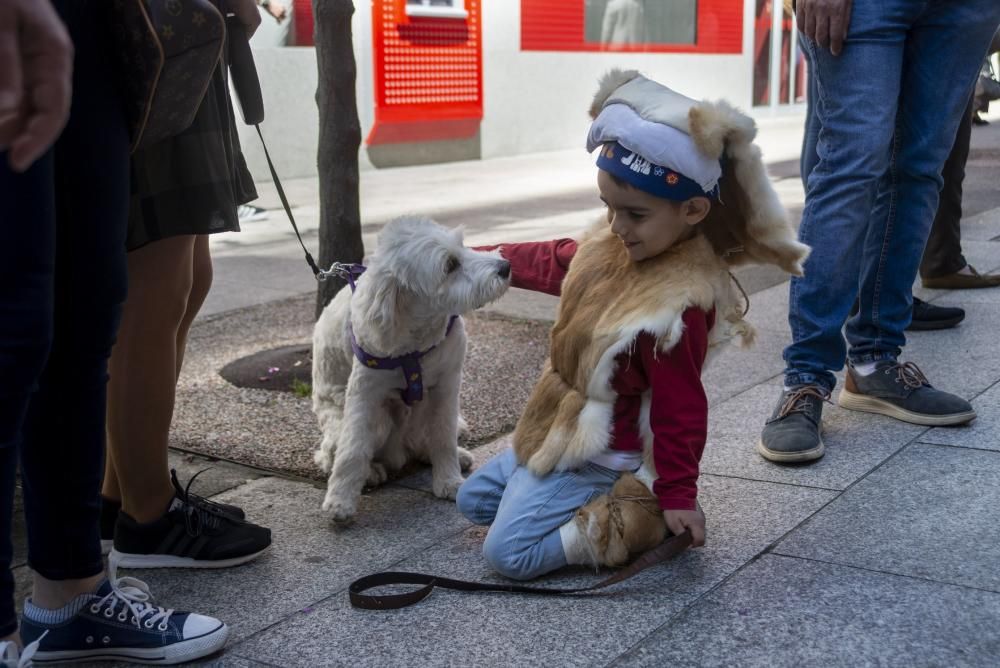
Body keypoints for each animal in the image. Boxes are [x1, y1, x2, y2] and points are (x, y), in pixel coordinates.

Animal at [312, 217, 512, 520]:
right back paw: (371, 471)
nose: (505, 266)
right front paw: (340, 500)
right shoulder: (364, 394)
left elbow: (443, 436)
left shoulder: (447, 385)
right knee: (333, 453)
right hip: (375, 420)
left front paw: (448, 480)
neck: (418, 337)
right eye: (450, 265)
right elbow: (353, 448)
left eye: (463, 246)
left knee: (429, 439)